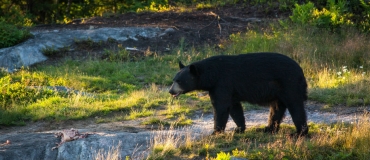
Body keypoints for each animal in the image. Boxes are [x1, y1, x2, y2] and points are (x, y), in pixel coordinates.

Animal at [169, 52, 308, 136]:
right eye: (173, 79)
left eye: (179, 81)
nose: (171, 91)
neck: (212, 75)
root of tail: (301, 70)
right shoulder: (227, 89)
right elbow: (234, 108)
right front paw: (239, 128)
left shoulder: (222, 83)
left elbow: (221, 107)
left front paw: (215, 132)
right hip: (279, 91)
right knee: (276, 108)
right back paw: (268, 128)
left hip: (289, 84)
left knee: (295, 106)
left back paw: (299, 133)